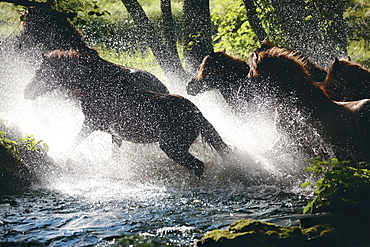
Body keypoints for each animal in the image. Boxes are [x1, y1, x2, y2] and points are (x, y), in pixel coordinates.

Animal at [24, 49, 230, 177]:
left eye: (41, 72)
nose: (26, 92)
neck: (98, 86)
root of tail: (197, 113)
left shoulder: (91, 123)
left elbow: (74, 141)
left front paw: (61, 158)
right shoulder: (116, 134)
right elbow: (114, 157)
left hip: (172, 148)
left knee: (197, 166)